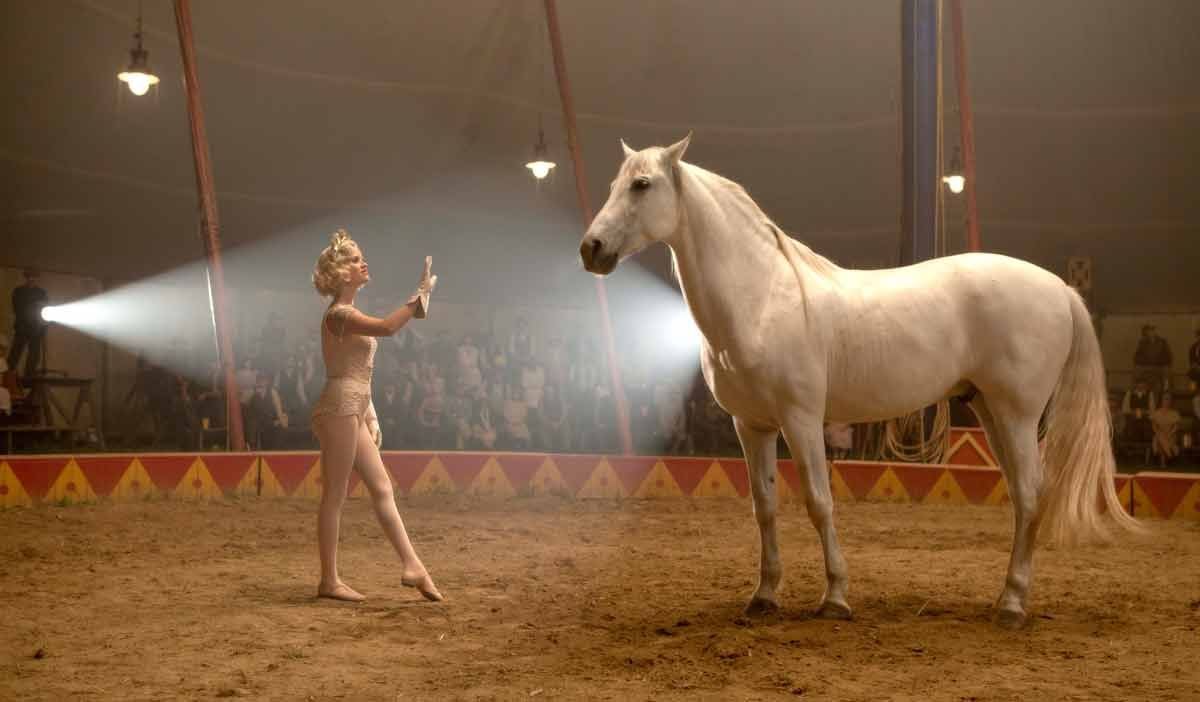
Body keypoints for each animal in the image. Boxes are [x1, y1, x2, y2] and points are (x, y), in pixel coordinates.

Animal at [580, 134, 1142, 628]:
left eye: (642, 185)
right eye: (615, 184)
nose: (591, 249)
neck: (761, 298)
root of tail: (1060, 287)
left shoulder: (802, 420)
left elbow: (818, 502)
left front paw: (835, 598)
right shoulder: (751, 425)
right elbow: (765, 507)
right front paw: (764, 596)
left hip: (1018, 414)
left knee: (1029, 495)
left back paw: (1012, 605)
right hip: (989, 412)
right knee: (1022, 497)